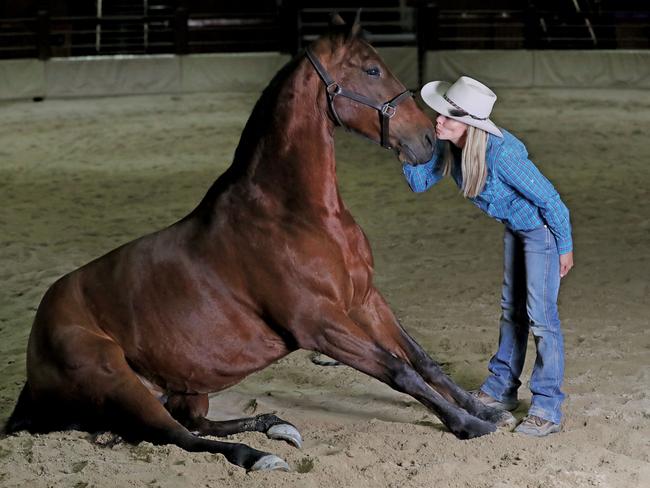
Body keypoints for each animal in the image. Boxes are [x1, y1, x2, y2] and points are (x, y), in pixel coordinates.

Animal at [3, 16, 512, 472]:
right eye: (371, 70)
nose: (427, 140)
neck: (296, 215)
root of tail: (35, 351)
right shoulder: (319, 324)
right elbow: (399, 369)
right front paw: (469, 425)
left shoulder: (365, 300)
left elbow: (422, 359)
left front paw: (484, 409)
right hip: (117, 381)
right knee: (176, 436)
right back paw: (258, 455)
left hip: (186, 386)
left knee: (189, 423)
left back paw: (274, 425)